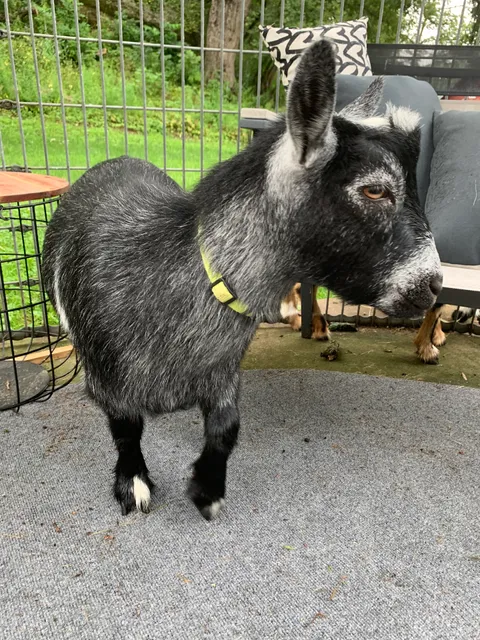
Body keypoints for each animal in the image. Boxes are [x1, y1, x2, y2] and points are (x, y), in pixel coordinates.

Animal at [42, 40, 442, 519]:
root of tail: (117, 159)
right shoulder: (109, 380)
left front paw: (207, 490)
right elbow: (125, 427)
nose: (434, 284)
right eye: (375, 189)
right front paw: (133, 483)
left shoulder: (223, 374)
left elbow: (228, 426)